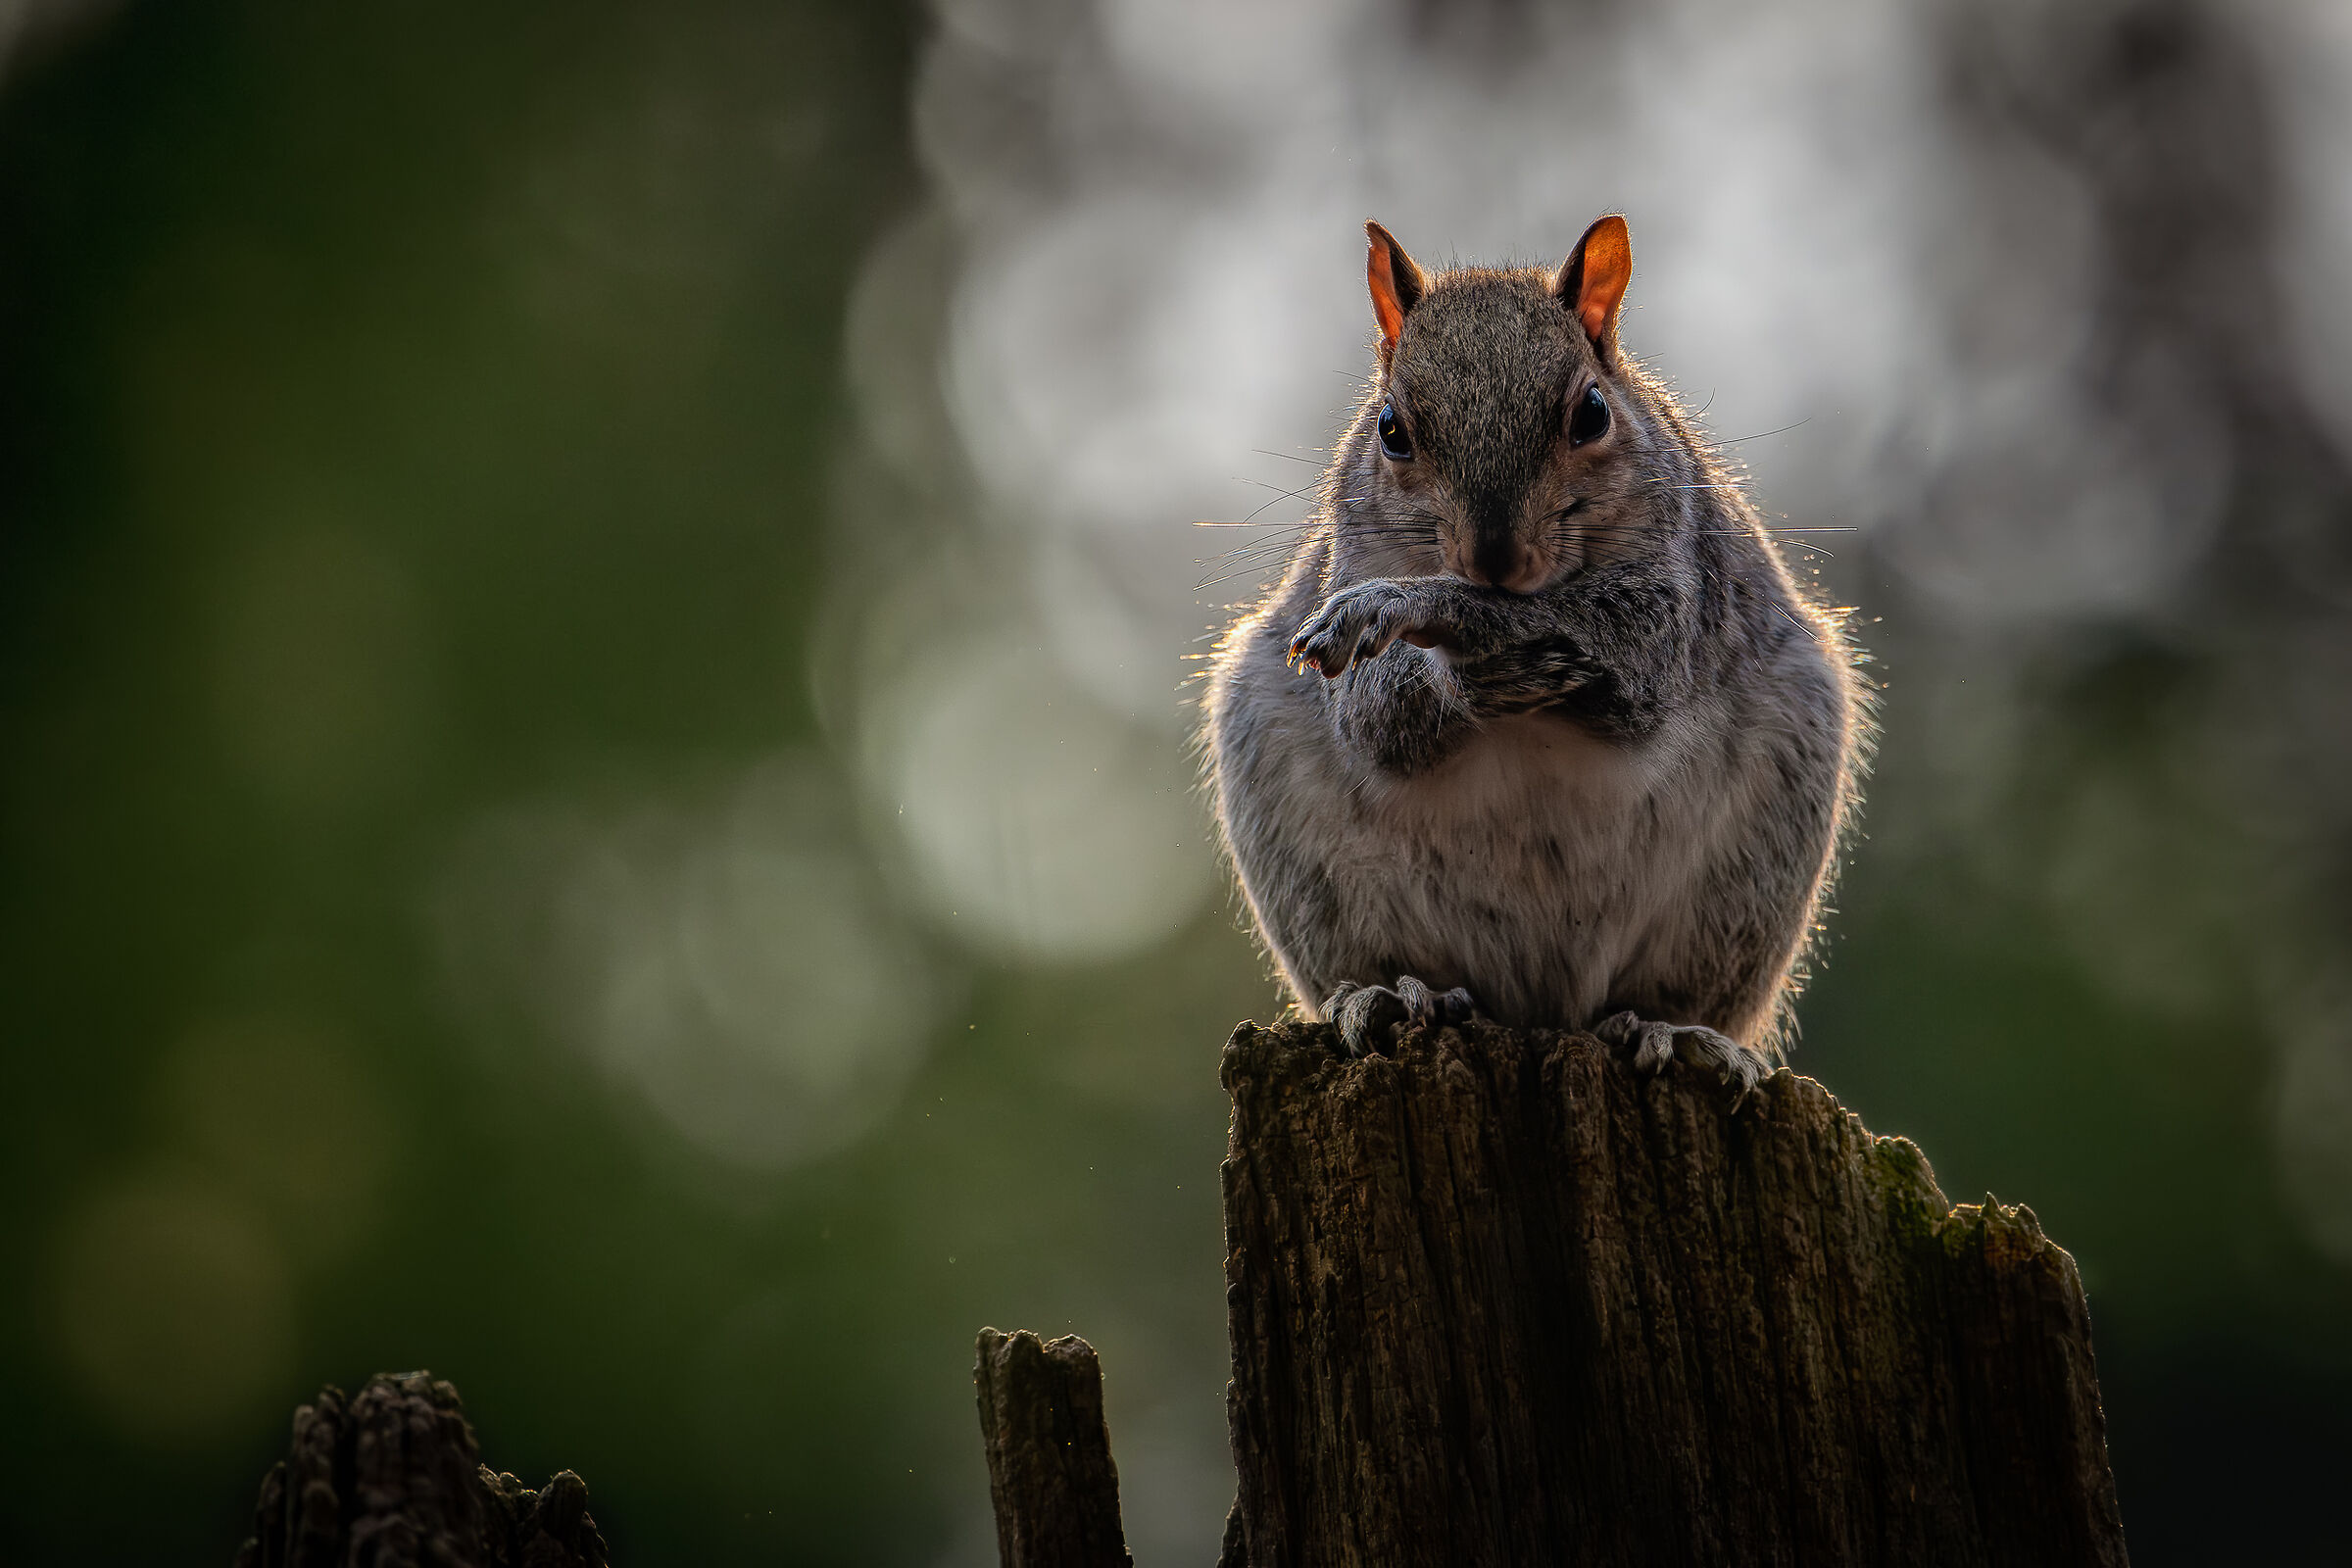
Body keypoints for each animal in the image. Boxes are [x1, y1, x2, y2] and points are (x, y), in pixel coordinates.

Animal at [1202, 214, 1863, 1099]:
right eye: (1390, 430)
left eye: (1592, 413)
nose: (1493, 560)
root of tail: (1542, 1012)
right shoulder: (1348, 587)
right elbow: (1376, 723)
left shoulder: (1672, 601)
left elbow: (1634, 675)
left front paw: (1434, 609)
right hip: (1312, 871)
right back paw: (1391, 995)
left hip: (1747, 881)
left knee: (1675, 995)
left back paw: (1674, 1030)